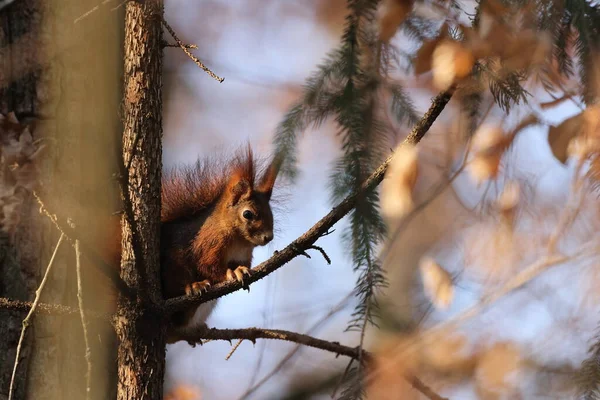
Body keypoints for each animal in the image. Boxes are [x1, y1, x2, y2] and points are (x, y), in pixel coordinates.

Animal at [103, 147, 282, 344]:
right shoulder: (207, 244)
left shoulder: (244, 255)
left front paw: (240, 269)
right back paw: (194, 287)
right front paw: (233, 273)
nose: (268, 237)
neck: (239, 242)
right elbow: (208, 266)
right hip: (174, 270)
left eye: (271, 214)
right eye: (248, 214)